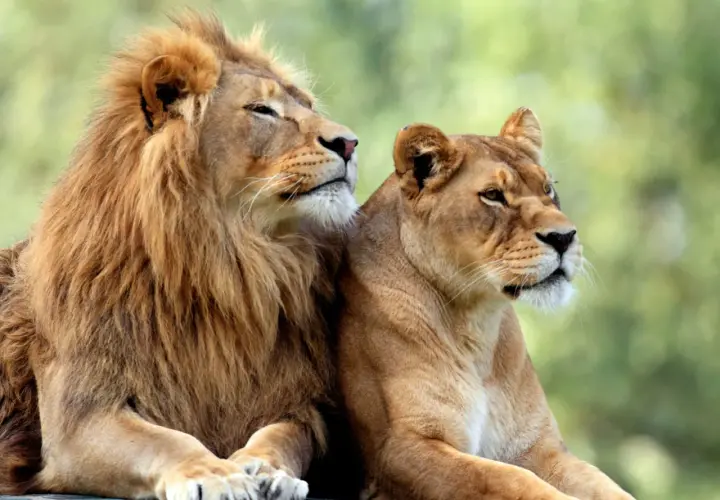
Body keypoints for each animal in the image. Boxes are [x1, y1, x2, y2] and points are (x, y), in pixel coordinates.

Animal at [0, 12, 360, 500]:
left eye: (306, 104)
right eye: (262, 110)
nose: (350, 143)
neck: (229, 265)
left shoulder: (299, 402)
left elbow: (283, 435)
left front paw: (267, 470)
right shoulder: (79, 416)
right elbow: (165, 440)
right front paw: (215, 474)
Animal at [336, 108, 635, 500]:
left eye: (548, 189)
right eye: (493, 195)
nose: (564, 237)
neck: (475, 324)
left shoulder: (537, 446)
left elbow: (606, 486)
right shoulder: (400, 449)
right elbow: (506, 479)